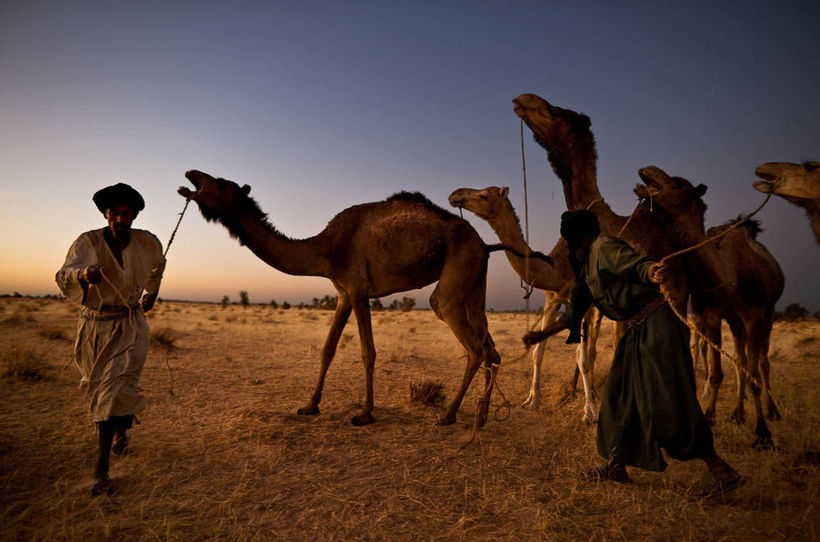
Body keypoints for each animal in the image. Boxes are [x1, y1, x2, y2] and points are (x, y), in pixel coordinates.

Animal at [178, 170, 506, 430]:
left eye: (221, 182)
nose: (191, 173)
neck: (325, 246)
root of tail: (485, 244)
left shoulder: (359, 289)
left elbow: (367, 352)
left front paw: (365, 414)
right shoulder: (343, 293)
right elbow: (328, 349)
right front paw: (309, 406)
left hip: (456, 271)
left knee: (472, 344)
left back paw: (449, 415)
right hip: (475, 281)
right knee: (491, 348)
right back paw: (482, 416)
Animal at [446, 187, 604, 424]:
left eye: (484, 195)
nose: (455, 194)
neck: (557, 270)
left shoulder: (582, 304)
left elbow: (582, 359)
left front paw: (590, 412)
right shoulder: (552, 301)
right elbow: (538, 353)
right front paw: (532, 401)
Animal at [636, 167, 780, 450]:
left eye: (679, 182)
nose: (646, 169)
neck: (726, 277)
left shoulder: (754, 316)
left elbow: (755, 375)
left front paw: (762, 434)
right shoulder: (713, 316)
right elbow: (716, 373)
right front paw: (710, 417)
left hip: (767, 313)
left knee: (763, 364)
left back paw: (772, 412)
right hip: (734, 322)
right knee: (740, 361)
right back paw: (737, 414)